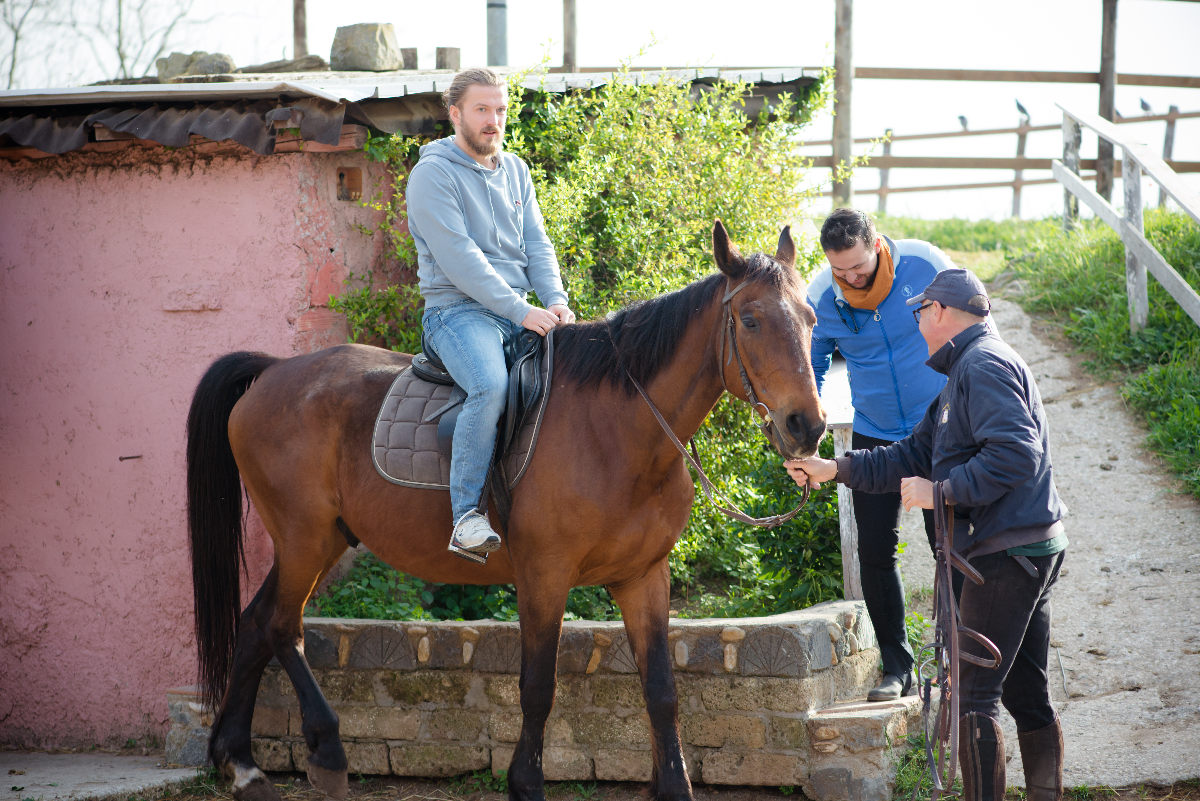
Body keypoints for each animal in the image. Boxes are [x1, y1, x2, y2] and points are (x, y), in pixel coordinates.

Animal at [187, 219, 825, 801]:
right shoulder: (544, 575)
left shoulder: (644, 576)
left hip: (322, 542)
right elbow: (538, 686)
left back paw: (239, 762)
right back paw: (324, 748)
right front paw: (525, 782)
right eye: (750, 320)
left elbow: (662, 690)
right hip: (305, 538)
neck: (619, 431)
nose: (808, 426)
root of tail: (274, 369)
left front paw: (674, 786)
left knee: (256, 623)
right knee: (280, 626)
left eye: (811, 319)